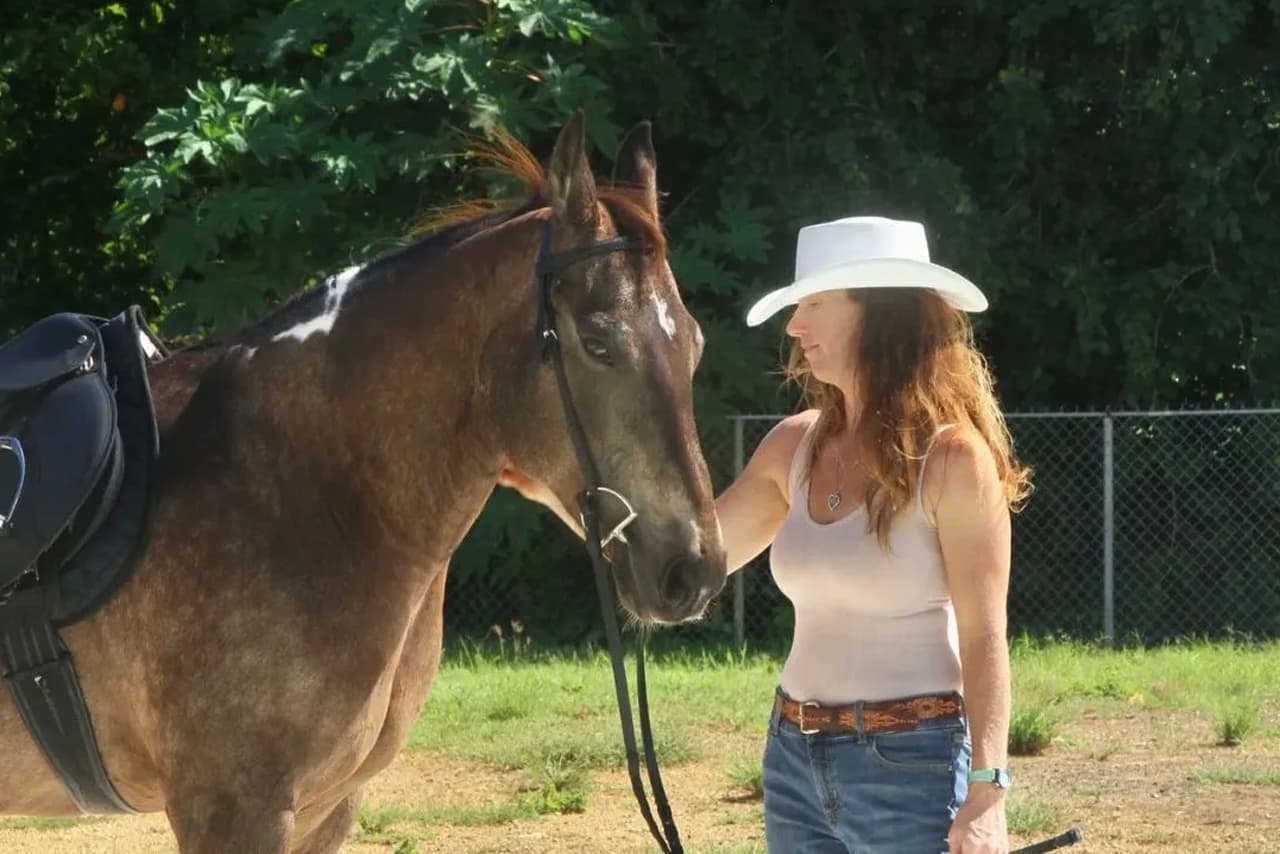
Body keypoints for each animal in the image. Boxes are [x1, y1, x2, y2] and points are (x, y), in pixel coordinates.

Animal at [0, 113, 728, 852]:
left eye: (694, 343)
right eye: (598, 342)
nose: (692, 569)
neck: (303, 495)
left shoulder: (329, 806)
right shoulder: (231, 807)